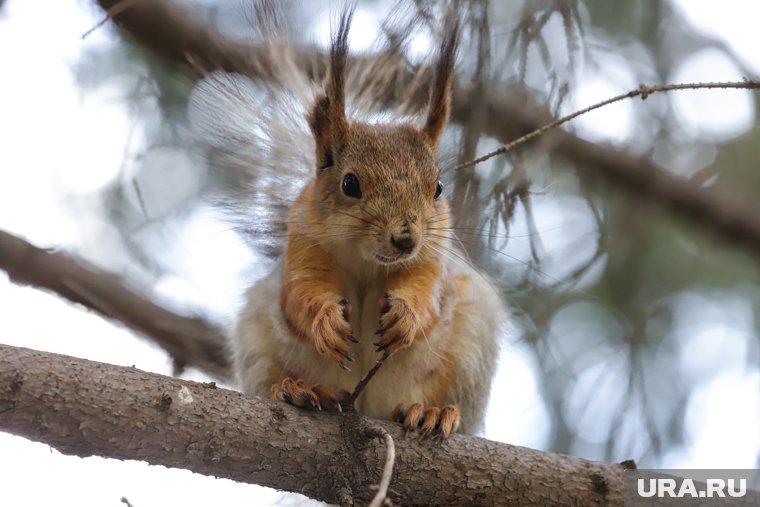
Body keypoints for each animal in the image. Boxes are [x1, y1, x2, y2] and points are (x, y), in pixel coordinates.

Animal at [199, 5, 508, 438]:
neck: (366, 260)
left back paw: (432, 411)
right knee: (274, 374)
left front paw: (408, 316)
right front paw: (323, 321)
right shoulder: (303, 244)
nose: (405, 239)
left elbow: (426, 294)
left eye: (438, 187)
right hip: (257, 342)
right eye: (350, 183)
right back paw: (295, 389)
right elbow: (300, 296)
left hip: (471, 348)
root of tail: (366, 406)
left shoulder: (433, 256)